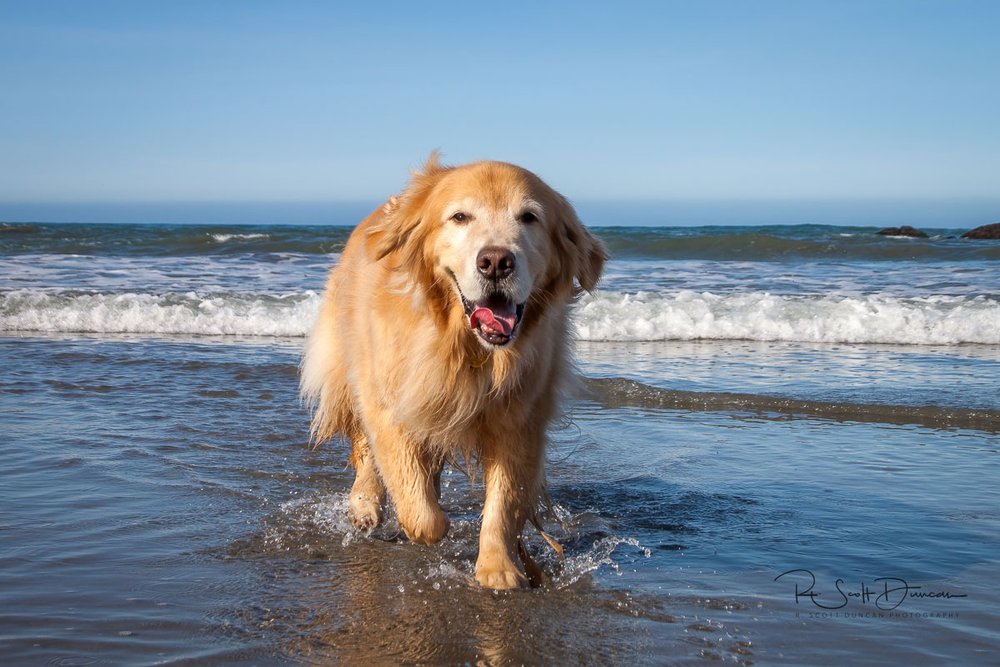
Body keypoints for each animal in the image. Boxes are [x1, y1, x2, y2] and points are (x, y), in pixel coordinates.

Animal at [300, 153, 604, 588]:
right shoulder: (391, 404)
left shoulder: (521, 420)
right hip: (351, 369)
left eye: (529, 217)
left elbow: (505, 500)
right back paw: (365, 505)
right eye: (460, 217)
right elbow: (421, 510)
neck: (465, 345)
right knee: (364, 447)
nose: (495, 262)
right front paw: (425, 522)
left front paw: (499, 567)